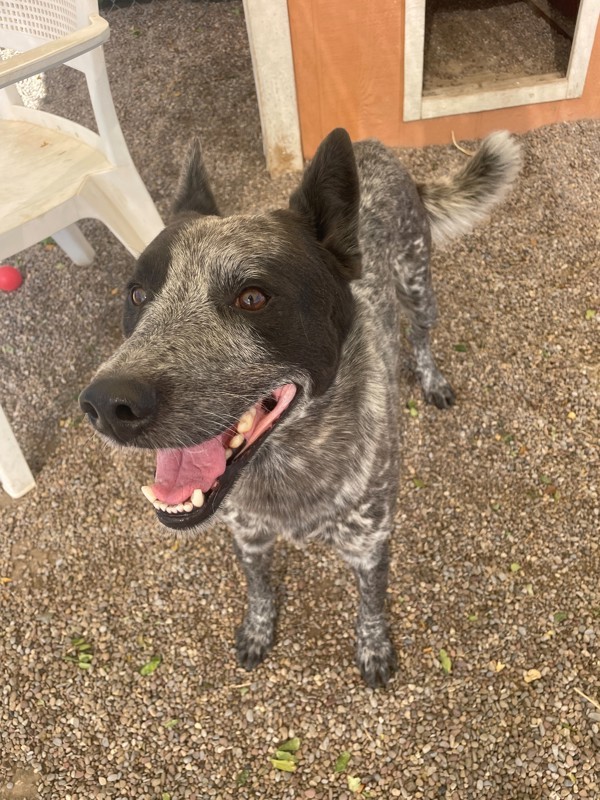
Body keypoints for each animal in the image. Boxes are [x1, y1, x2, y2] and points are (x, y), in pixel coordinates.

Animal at [79, 128, 520, 684]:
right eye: (137, 295)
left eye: (253, 298)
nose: (106, 403)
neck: (287, 467)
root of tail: (373, 147)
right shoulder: (248, 535)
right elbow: (259, 587)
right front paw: (258, 628)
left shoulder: (370, 543)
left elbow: (371, 604)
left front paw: (373, 646)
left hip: (419, 286)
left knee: (420, 335)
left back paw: (431, 378)